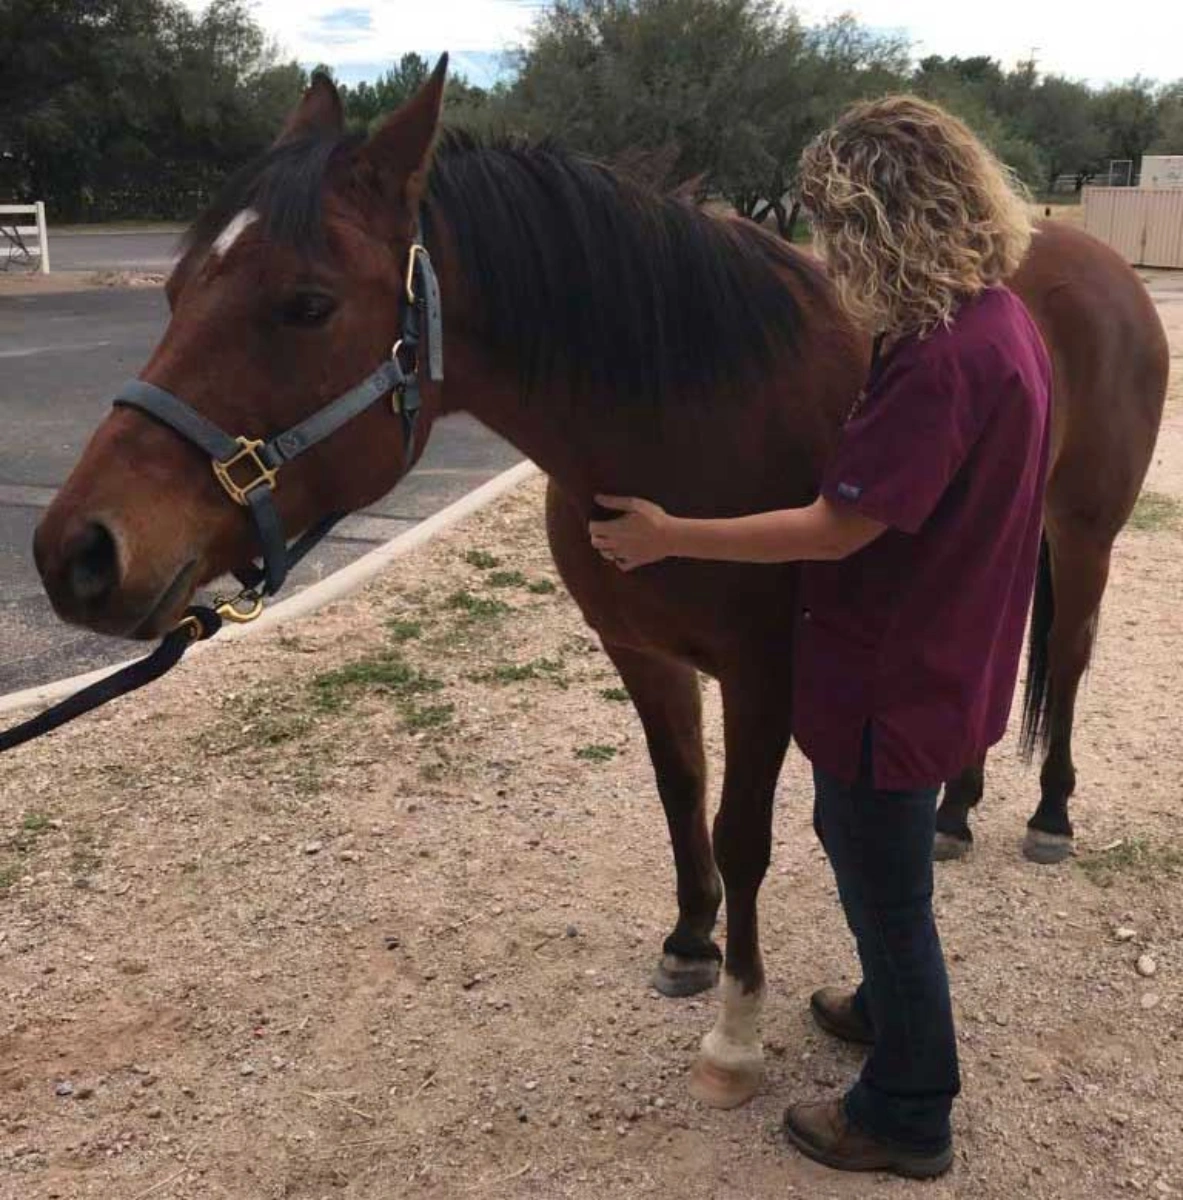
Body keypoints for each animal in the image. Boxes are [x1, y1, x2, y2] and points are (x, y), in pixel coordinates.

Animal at [30, 63, 1168, 1110]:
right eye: (175, 292)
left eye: (306, 305)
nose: (76, 551)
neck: (689, 411)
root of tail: (1089, 258)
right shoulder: (643, 655)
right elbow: (680, 795)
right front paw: (687, 942)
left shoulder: (767, 674)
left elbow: (742, 836)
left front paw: (735, 1034)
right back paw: (957, 810)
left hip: (1082, 535)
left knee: (1066, 660)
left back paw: (1048, 815)